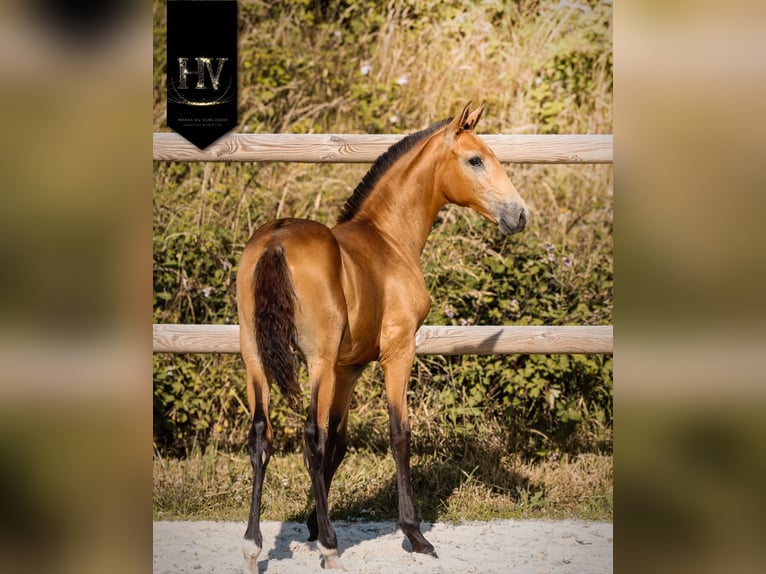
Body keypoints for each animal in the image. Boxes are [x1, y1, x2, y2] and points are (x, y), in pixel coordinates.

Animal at [236, 101, 529, 571]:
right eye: (475, 160)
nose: (518, 215)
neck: (388, 240)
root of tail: (275, 242)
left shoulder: (348, 368)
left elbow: (340, 442)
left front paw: (313, 522)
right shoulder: (397, 352)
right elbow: (398, 434)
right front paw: (415, 535)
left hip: (255, 356)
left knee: (262, 434)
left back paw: (253, 546)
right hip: (315, 359)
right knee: (310, 438)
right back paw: (331, 548)